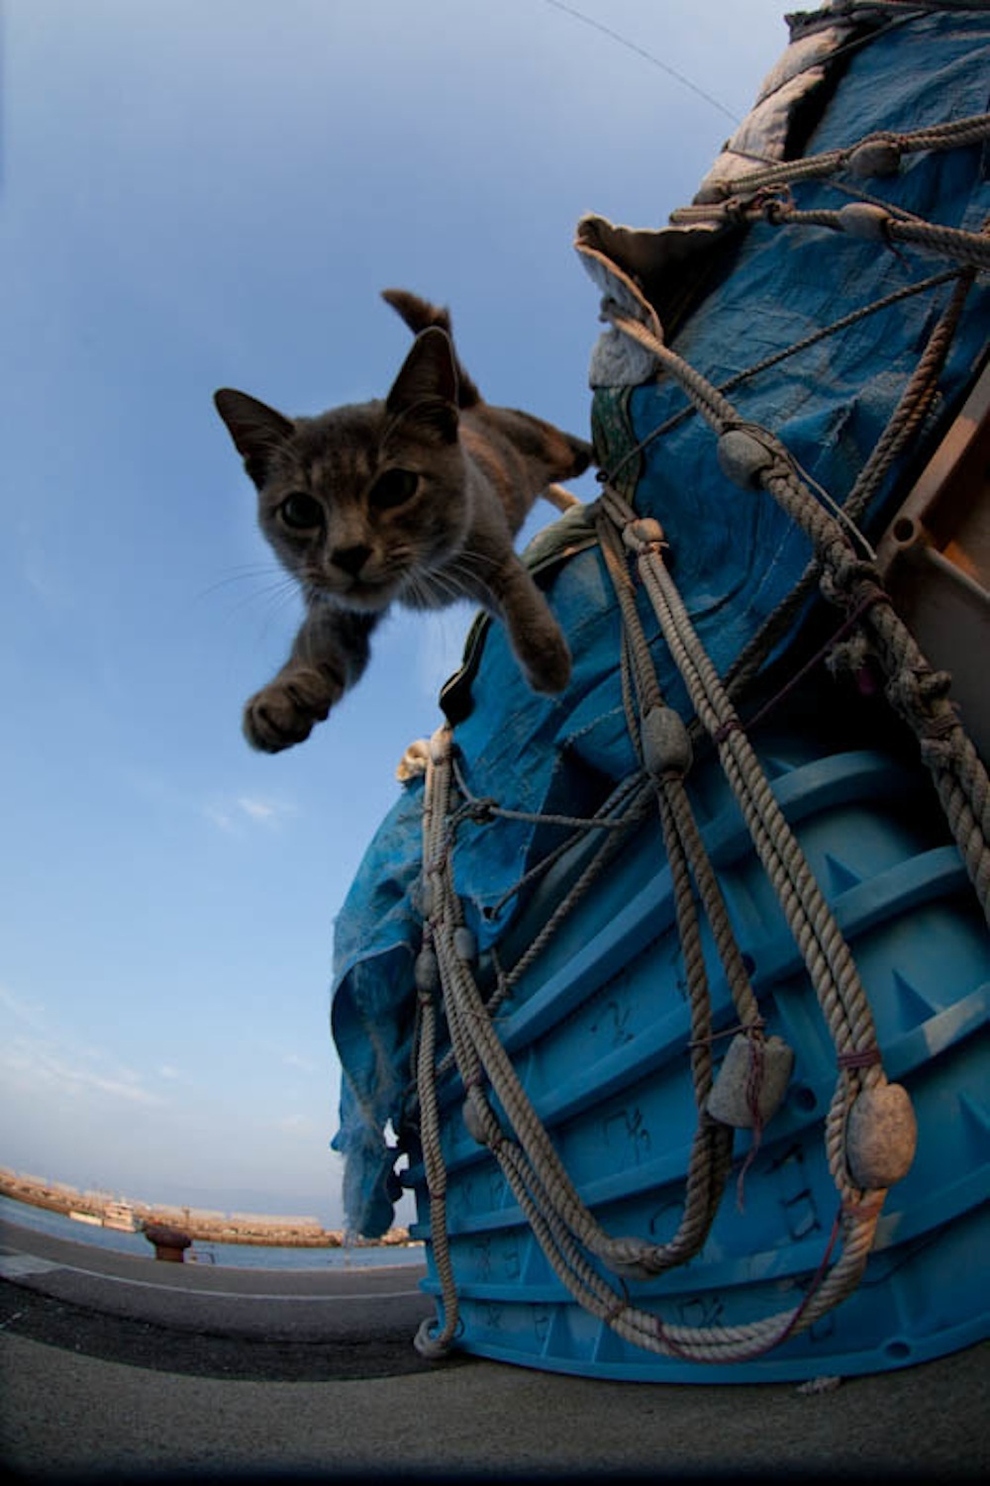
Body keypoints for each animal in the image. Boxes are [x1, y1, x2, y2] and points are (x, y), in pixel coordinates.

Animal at [212, 286, 588, 754]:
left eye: (395, 486)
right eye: (299, 510)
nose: (349, 553)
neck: (419, 578)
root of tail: (472, 408)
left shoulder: (488, 541)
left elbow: (516, 587)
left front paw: (546, 658)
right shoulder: (339, 604)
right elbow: (319, 640)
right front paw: (285, 696)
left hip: (558, 448)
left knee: (584, 449)